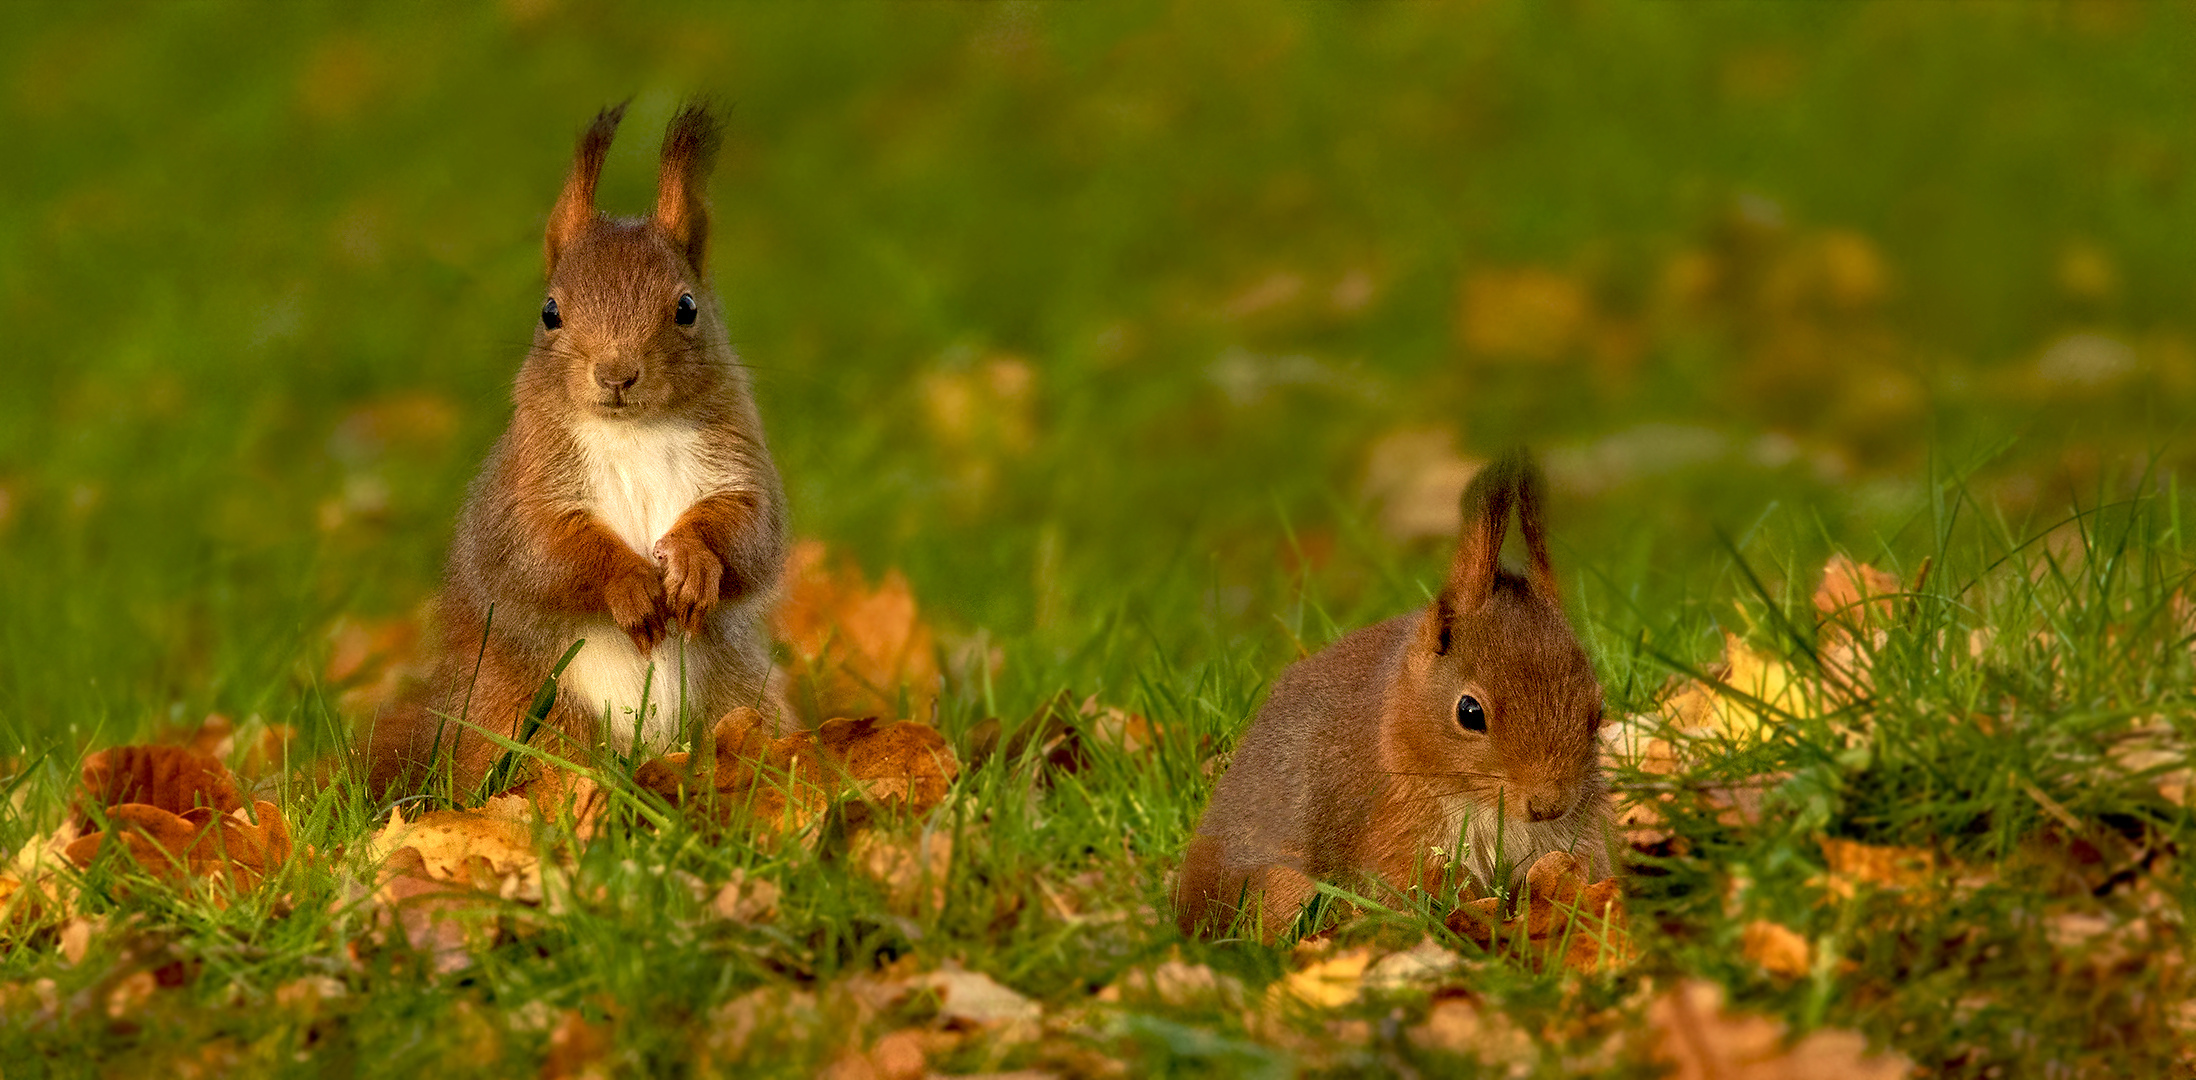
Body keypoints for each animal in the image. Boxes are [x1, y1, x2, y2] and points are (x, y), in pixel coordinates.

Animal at [368, 103, 790, 794]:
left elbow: (751, 536)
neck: (634, 432)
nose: (616, 374)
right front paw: (630, 584)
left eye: (687, 307)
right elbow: (545, 551)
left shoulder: (739, 467)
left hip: (743, 701)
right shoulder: (526, 487)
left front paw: (692, 562)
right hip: (523, 718)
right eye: (549, 312)